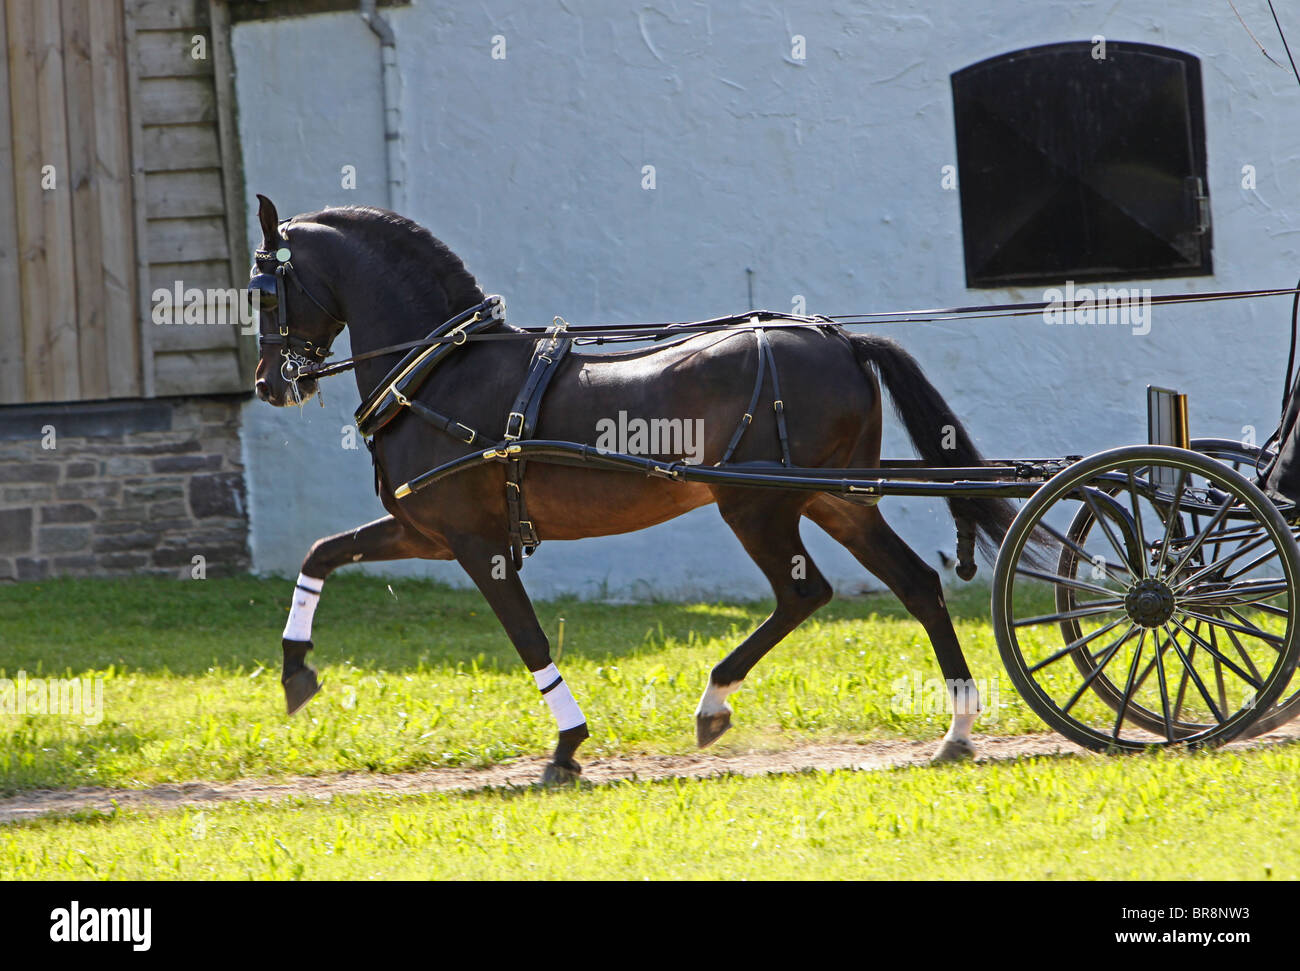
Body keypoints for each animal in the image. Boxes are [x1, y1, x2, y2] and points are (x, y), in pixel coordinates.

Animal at [248, 194, 1017, 784]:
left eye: (263, 289)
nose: (268, 384)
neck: (441, 372)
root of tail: (842, 338)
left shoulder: (474, 543)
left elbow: (529, 640)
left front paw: (567, 745)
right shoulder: (424, 532)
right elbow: (321, 553)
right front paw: (295, 670)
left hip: (757, 505)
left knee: (805, 594)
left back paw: (714, 701)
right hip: (836, 499)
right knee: (918, 584)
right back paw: (957, 727)